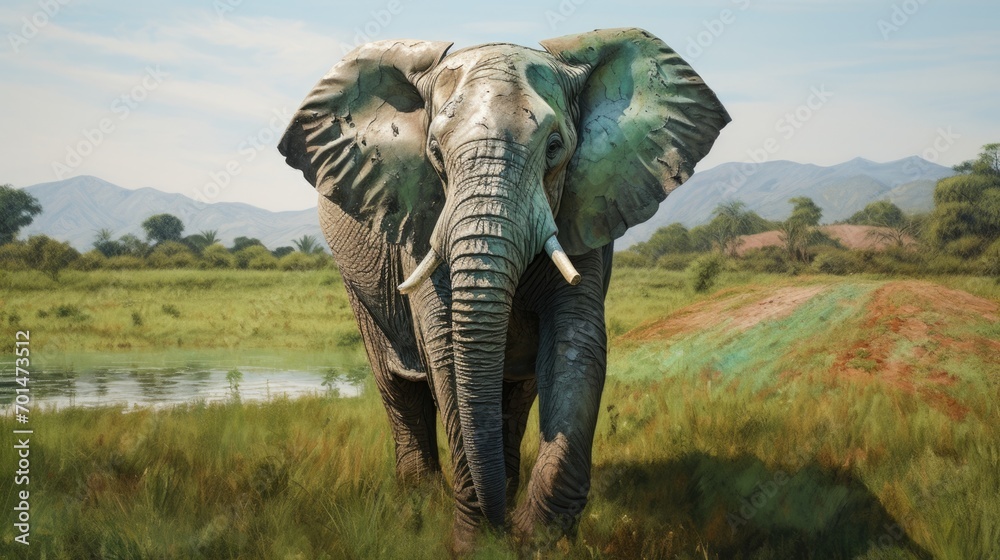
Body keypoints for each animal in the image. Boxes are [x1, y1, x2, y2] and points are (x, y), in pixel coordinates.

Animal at [278, 27, 729, 549]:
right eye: (434, 154)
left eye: (554, 147)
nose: (502, 528)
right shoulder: (420, 210)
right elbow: (444, 349)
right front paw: (474, 543)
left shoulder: (585, 204)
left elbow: (576, 342)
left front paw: (537, 542)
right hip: (357, 280)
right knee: (398, 388)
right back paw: (418, 505)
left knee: (515, 394)